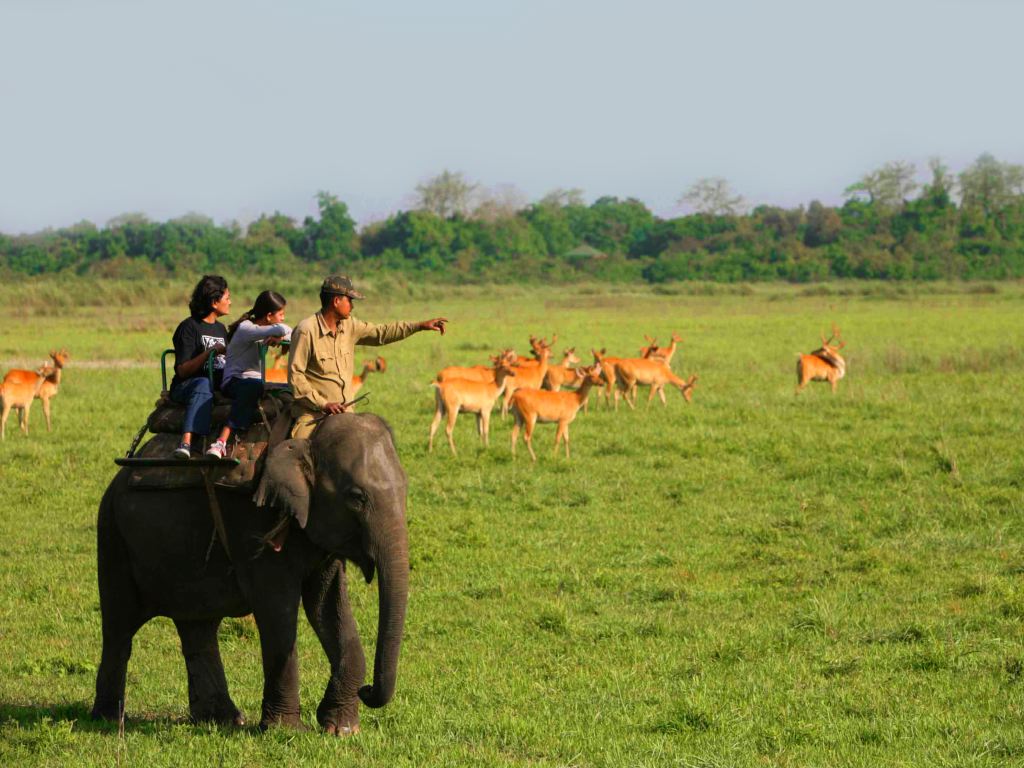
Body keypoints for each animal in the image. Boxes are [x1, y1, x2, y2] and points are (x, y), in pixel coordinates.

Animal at [89, 411, 407, 737]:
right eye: (357, 498)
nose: (367, 690)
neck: (307, 436)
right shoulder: (253, 522)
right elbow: (277, 608)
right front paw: (286, 730)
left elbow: (328, 608)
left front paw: (341, 729)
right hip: (113, 536)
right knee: (119, 627)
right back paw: (109, 719)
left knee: (198, 627)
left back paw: (221, 719)